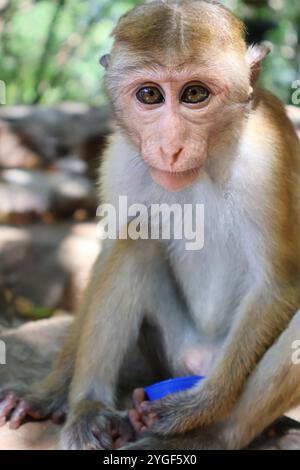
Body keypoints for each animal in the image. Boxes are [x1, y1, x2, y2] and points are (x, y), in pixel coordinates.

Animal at [0, 0, 300, 450]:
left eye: (195, 94)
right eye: (149, 95)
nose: (170, 146)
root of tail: (198, 359)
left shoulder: (268, 156)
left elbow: (278, 282)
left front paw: (200, 407)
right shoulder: (122, 155)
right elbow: (109, 249)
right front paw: (48, 393)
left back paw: (205, 434)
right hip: (172, 350)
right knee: (136, 239)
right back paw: (91, 410)